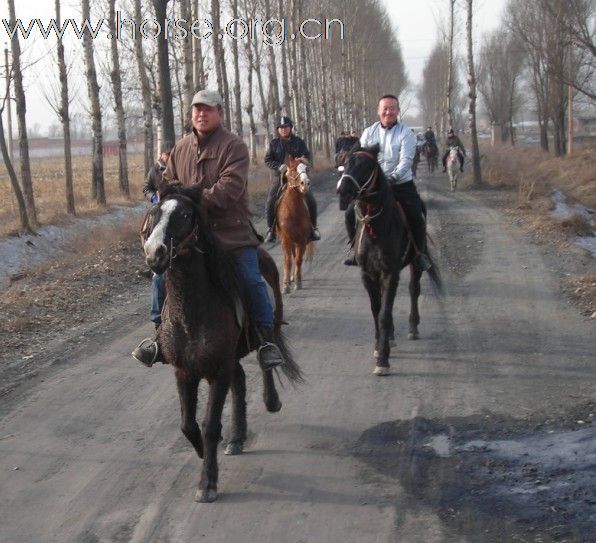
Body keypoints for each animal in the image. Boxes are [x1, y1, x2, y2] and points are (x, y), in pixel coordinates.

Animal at [141, 183, 302, 502]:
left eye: (185, 214)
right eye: (154, 212)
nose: (155, 253)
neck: (193, 312)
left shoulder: (218, 371)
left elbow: (211, 425)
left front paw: (207, 483)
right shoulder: (184, 372)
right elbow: (187, 424)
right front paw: (202, 451)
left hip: (264, 329)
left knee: (266, 361)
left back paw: (271, 400)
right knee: (240, 381)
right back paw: (237, 438)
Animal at [276, 155, 316, 296]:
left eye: (306, 169)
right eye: (293, 170)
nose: (306, 183)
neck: (293, 211)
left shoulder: (302, 240)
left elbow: (298, 260)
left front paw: (298, 283)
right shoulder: (286, 240)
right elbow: (288, 261)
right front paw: (286, 285)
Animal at [338, 142, 440, 376]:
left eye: (366, 166)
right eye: (346, 162)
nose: (343, 191)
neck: (377, 226)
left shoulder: (390, 272)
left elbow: (384, 314)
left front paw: (383, 360)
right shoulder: (368, 274)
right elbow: (377, 311)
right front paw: (379, 346)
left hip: (415, 263)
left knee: (413, 289)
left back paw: (413, 327)